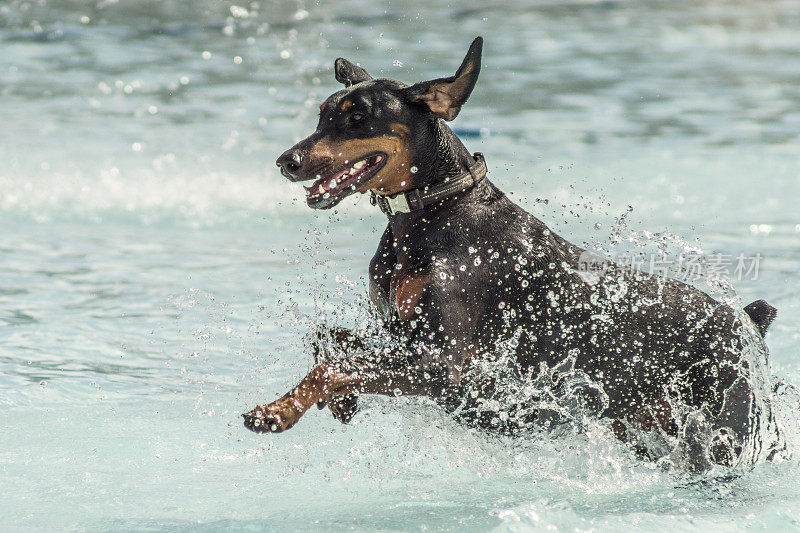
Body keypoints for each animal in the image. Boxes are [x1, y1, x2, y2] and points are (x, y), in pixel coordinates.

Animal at [242, 37, 776, 470]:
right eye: (322, 115)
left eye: (359, 117)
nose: (286, 161)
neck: (434, 211)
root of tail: (747, 321)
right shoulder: (398, 334)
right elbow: (329, 339)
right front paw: (339, 403)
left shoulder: (449, 369)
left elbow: (335, 366)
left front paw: (276, 411)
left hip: (721, 430)